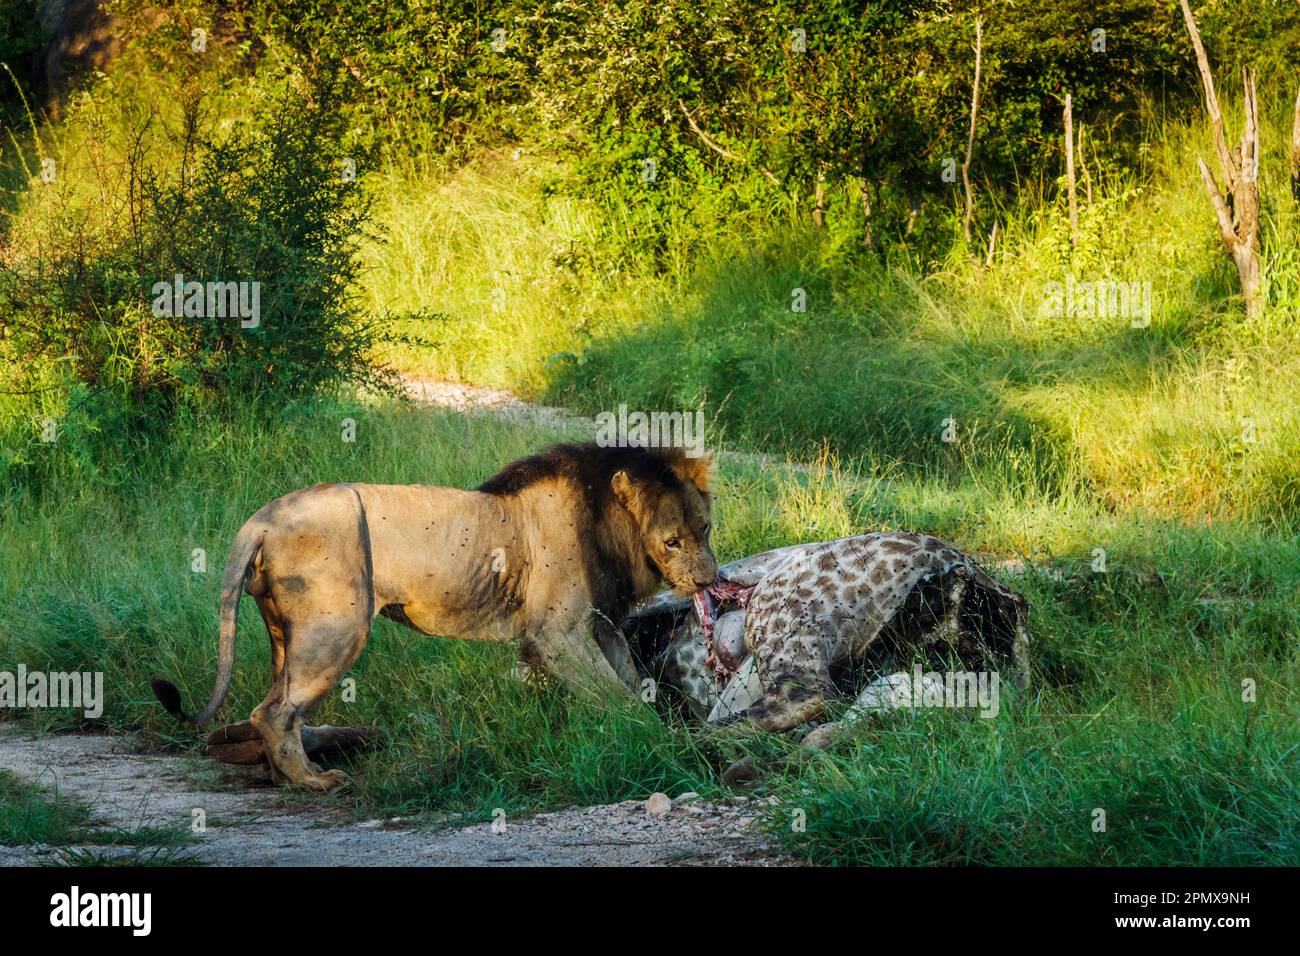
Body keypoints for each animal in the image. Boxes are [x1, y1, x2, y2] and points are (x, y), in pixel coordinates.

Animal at [157, 442, 722, 790]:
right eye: (672, 541)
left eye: (706, 529)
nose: (708, 580)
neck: (611, 527)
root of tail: (264, 518)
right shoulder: (557, 630)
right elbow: (616, 694)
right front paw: (655, 743)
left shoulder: (600, 622)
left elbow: (633, 681)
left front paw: (668, 732)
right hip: (336, 629)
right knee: (272, 712)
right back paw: (314, 782)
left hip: (284, 632)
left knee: (274, 704)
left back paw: (284, 776)